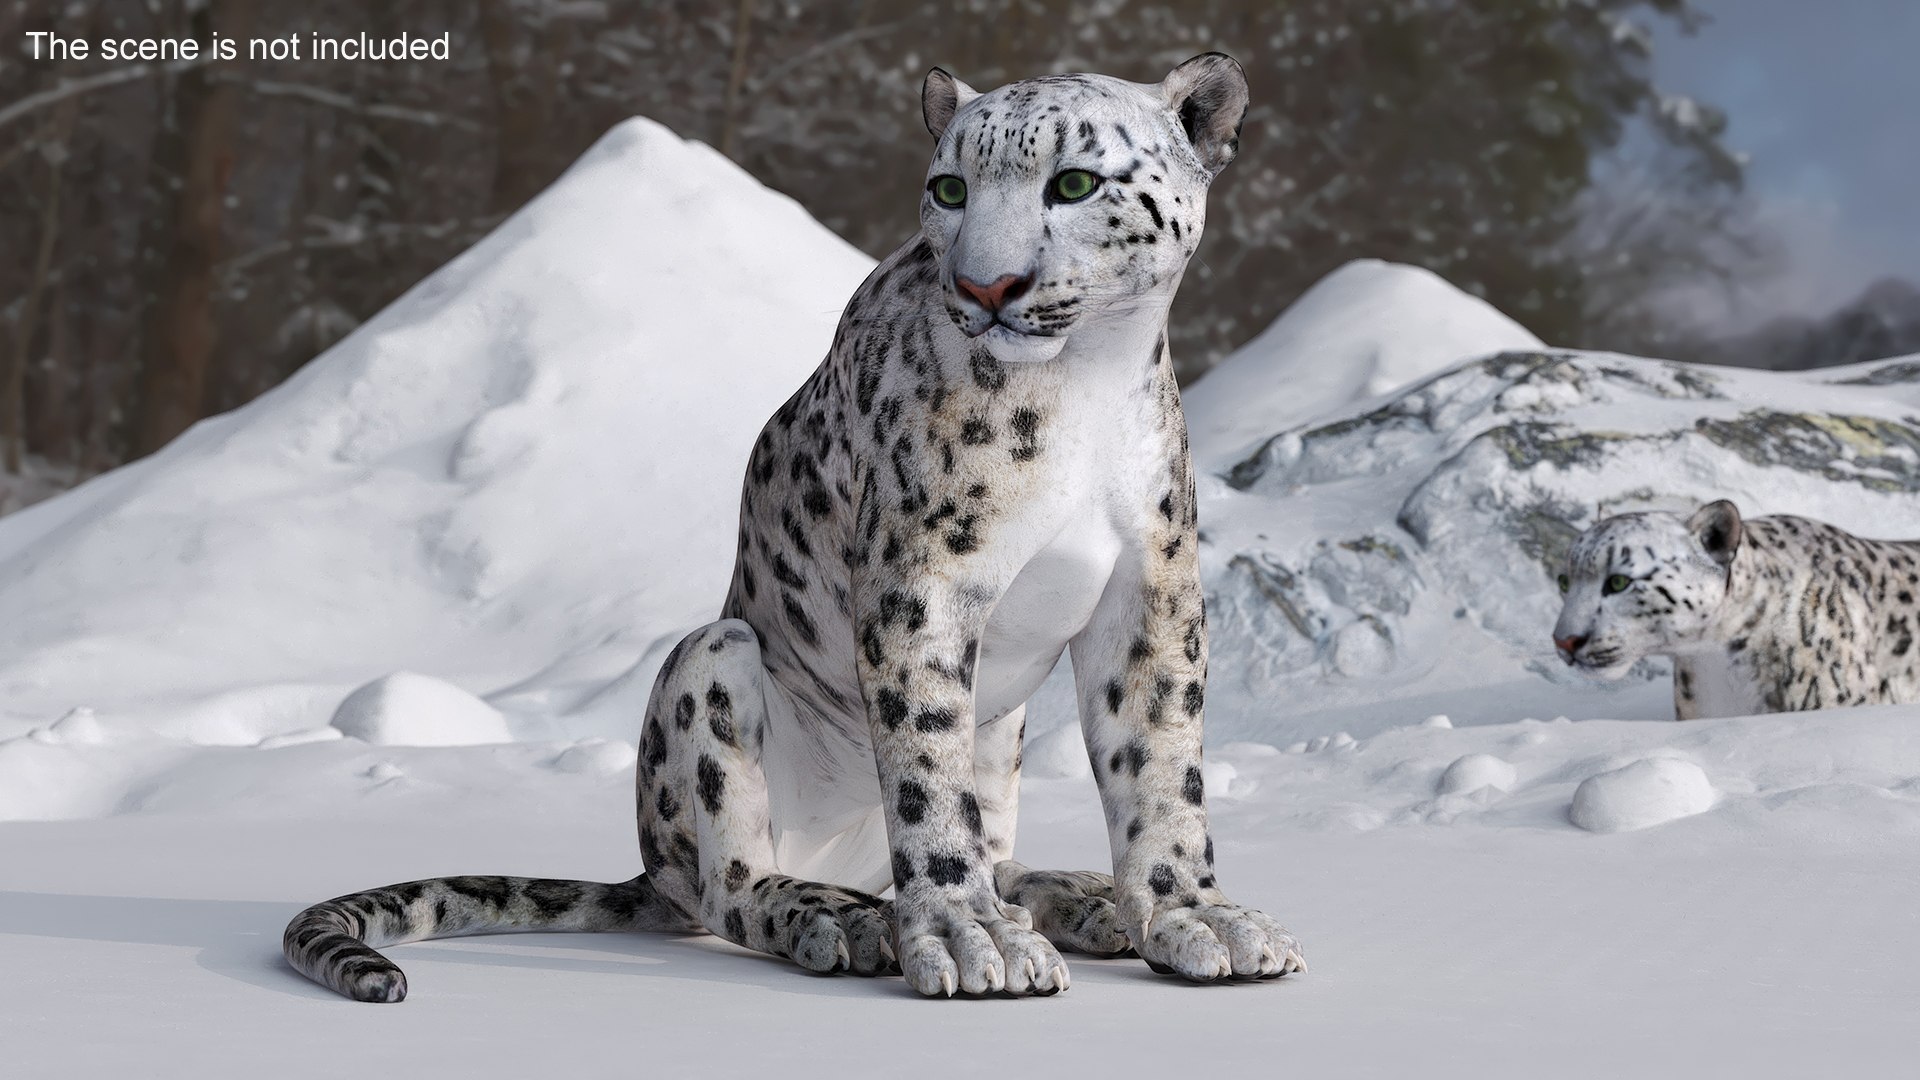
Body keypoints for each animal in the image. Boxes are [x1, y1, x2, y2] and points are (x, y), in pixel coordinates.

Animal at [284, 53, 1306, 1002]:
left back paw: (1070, 897)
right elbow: (927, 772)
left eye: (1076, 183)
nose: (986, 285)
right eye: (950, 188)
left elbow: (1160, 764)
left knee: (991, 840)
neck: (1083, 385)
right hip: (710, 670)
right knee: (728, 883)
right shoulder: (921, 579)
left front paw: (1194, 917)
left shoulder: (1150, 586)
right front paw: (968, 937)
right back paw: (849, 918)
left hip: (1003, 725)